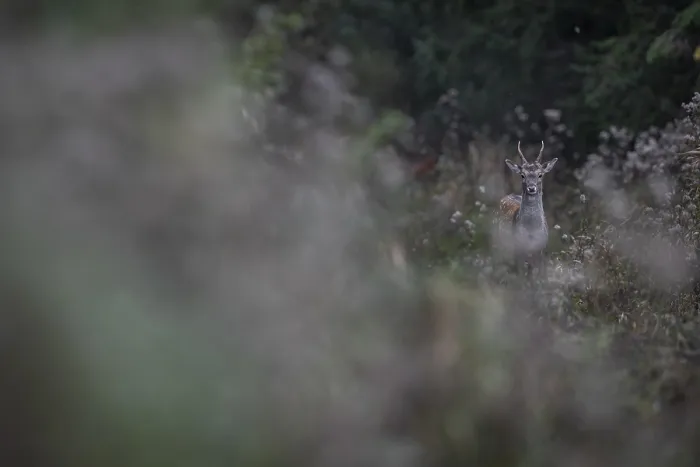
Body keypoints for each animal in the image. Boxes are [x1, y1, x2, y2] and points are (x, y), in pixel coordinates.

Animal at [496, 141, 558, 277]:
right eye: (522, 175)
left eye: (540, 175)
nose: (531, 188)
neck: (531, 232)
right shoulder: (518, 247)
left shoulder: (541, 248)